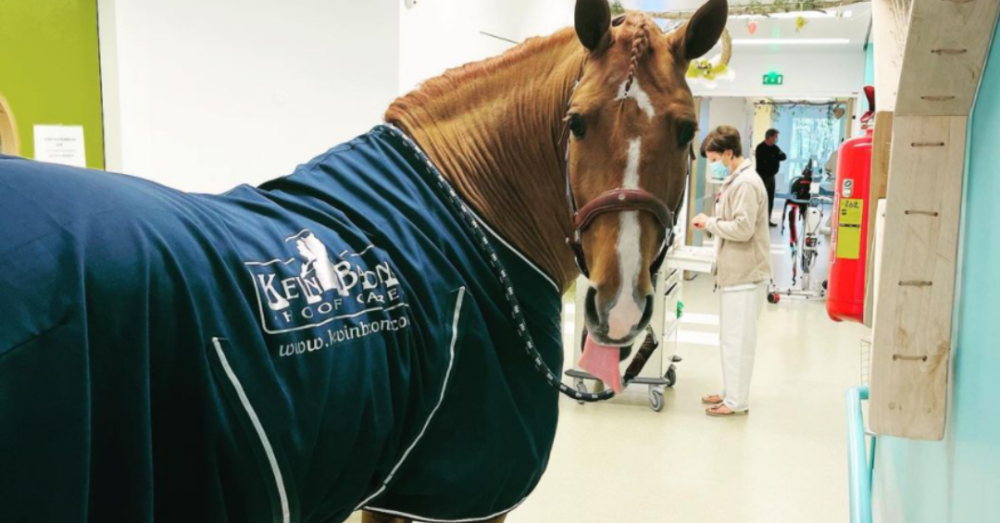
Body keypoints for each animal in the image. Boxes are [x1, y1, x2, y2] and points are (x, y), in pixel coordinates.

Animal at [0, 0, 727, 522]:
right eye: (576, 122)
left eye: (685, 130)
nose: (620, 305)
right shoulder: (454, 495)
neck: (473, 218)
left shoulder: (397, 487)